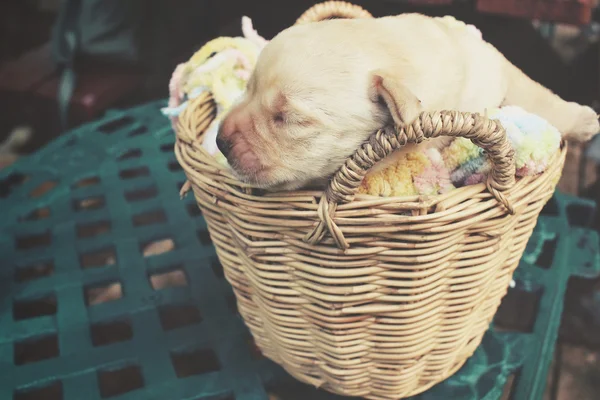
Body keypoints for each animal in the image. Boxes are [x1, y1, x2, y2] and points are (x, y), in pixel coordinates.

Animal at [217, 15, 600, 191]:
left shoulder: (492, 63)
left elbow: (532, 92)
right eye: (247, 87)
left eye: (286, 118)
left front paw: (584, 119)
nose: (219, 142)